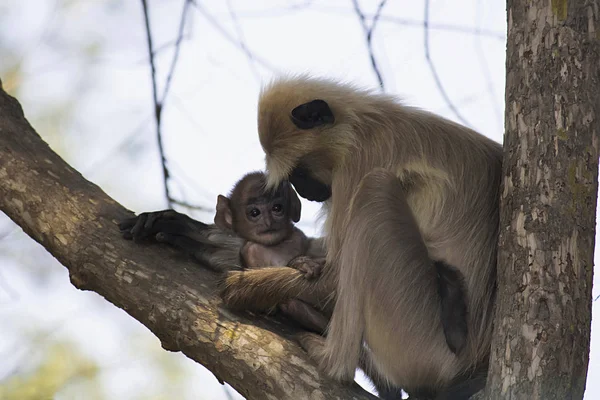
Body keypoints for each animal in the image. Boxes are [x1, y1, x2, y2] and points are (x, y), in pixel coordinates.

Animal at [216, 76, 502, 398]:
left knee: (374, 190)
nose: (305, 192)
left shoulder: (357, 162)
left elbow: (332, 281)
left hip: (420, 342)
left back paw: (331, 362)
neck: (363, 125)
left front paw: (243, 286)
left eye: (299, 172)